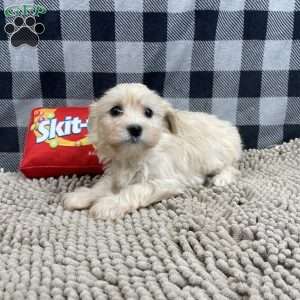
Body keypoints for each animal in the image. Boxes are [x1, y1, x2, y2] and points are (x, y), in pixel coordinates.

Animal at [64, 83, 243, 219]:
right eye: (115, 110)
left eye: (148, 112)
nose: (135, 128)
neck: (133, 156)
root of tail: (228, 126)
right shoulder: (116, 173)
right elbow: (103, 185)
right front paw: (82, 195)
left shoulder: (167, 181)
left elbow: (135, 189)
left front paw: (109, 204)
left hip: (216, 155)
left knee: (232, 167)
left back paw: (222, 178)